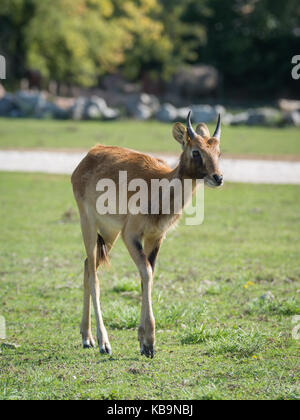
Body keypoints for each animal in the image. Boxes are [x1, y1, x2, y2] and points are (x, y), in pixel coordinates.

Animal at [72, 111, 223, 358]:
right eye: (196, 151)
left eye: (218, 151)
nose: (217, 177)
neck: (159, 189)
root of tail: (90, 155)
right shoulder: (131, 236)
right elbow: (146, 273)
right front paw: (150, 343)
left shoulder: (155, 238)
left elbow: (148, 276)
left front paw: (143, 342)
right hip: (89, 225)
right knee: (93, 275)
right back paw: (103, 343)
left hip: (109, 233)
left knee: (87, 265)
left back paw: (87, 337)